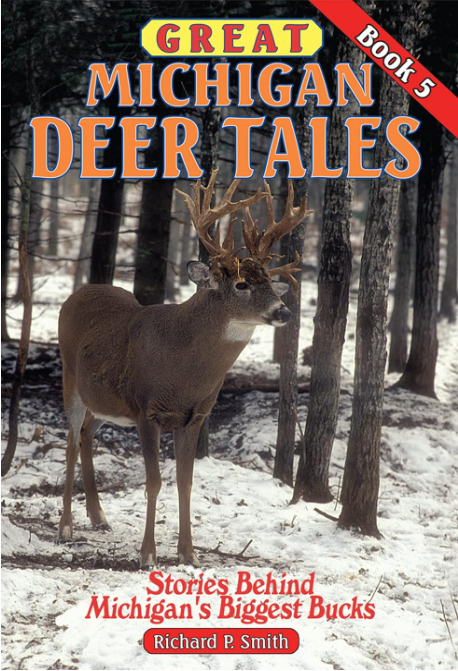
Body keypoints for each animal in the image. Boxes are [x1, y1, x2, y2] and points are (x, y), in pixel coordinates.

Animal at [57, 169, 312, 568]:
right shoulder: (147, 410)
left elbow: (186, 481)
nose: (283, 311)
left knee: (86, 436)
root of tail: (75, 294)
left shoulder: (195, 416)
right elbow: (154, 482)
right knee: (69, 440)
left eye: (271, 282)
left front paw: (189, 554)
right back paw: (66, 526)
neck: (184, 370)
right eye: (241, 284)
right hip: (70, 377)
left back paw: (99, 517)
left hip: (104, 400)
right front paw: (148, 554)